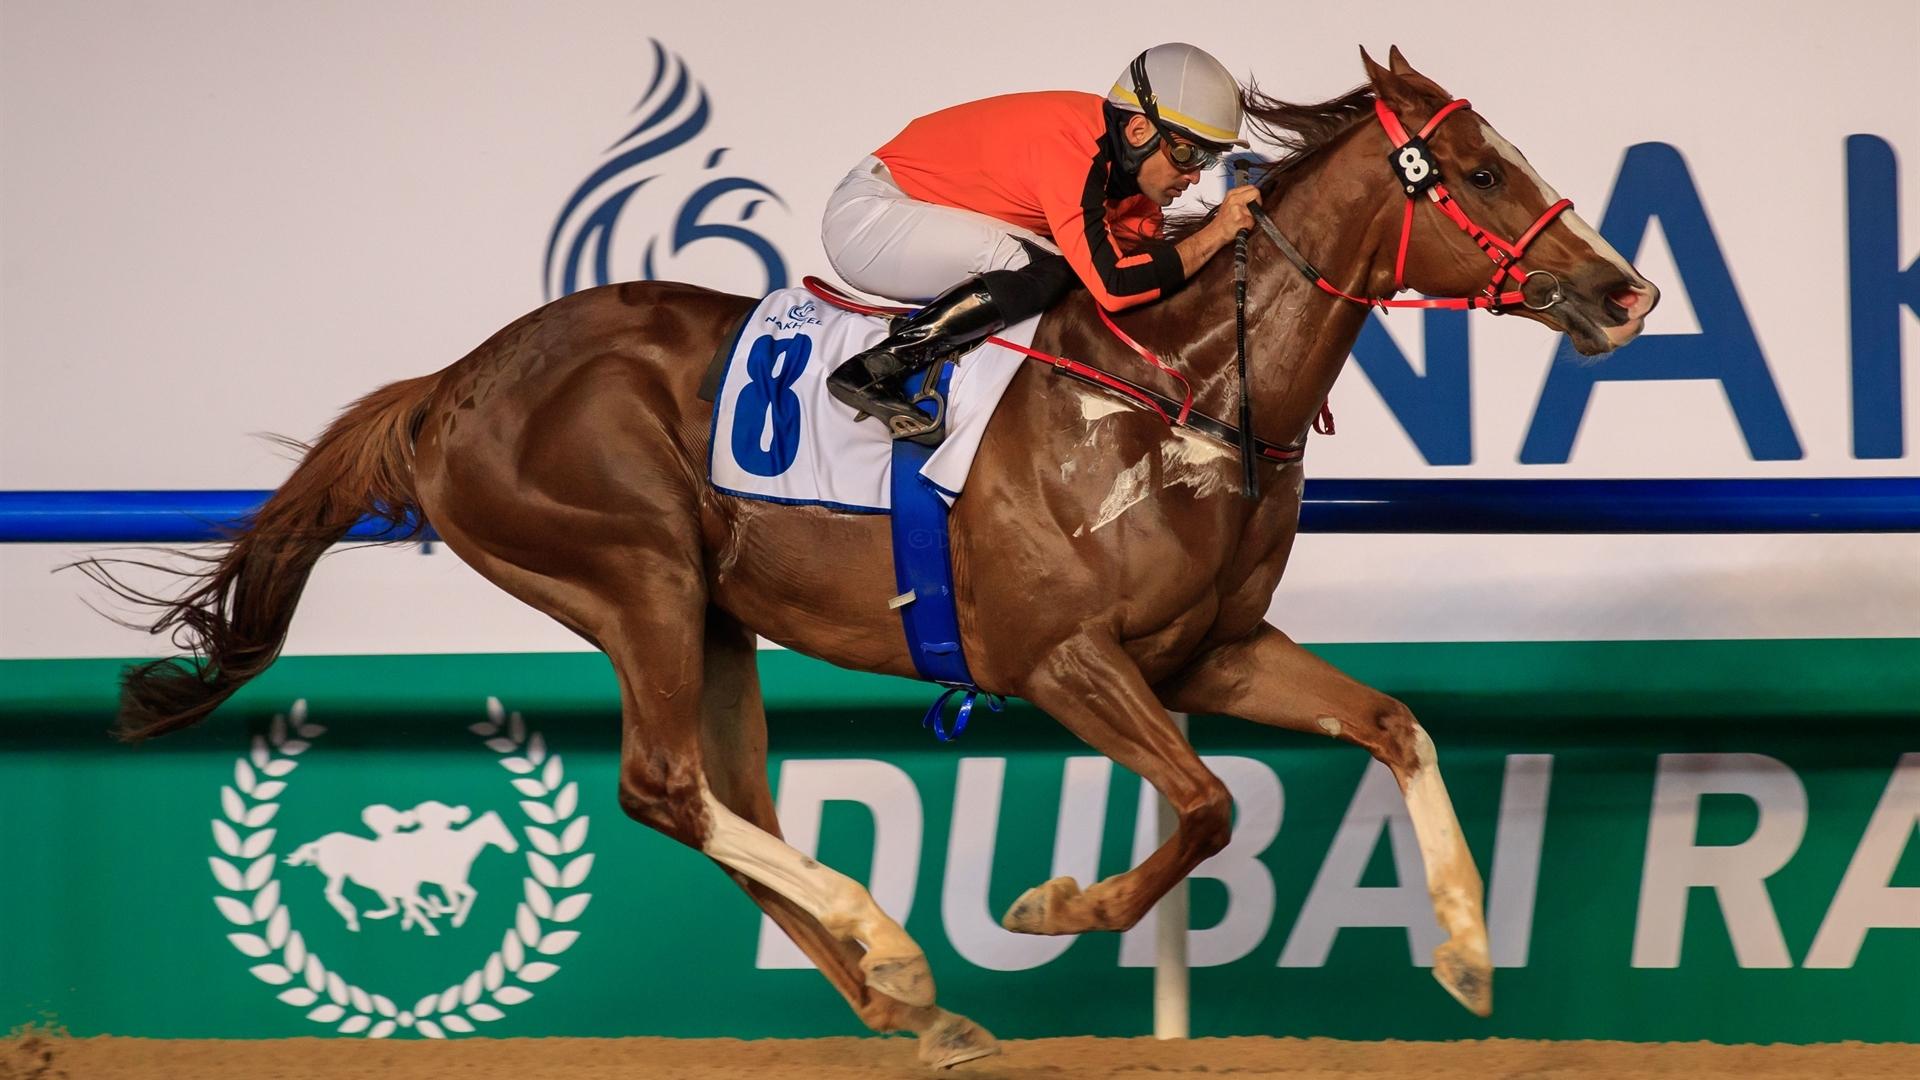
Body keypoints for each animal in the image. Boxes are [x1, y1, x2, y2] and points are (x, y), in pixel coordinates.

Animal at [97, 48, 1656, 1066]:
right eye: (1472, 169)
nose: (1626, 288)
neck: (1179, 392)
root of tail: (449, 388)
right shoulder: (1062, 656)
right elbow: (1210, 807)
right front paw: (1057, 904)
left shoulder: (1211, 651)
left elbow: (1392, 724)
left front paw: (1466, 950)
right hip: (635, 572)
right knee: (666, 788)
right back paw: (900, 955)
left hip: (712, 621)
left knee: (726, 808)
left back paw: (910, 1005)